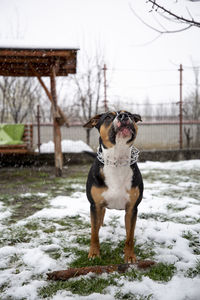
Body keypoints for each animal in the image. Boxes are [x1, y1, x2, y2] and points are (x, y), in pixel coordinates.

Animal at [83, 110, 143, 262]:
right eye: (108, 117)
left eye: (130, 115)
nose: (123, 116)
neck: (117, 160)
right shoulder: (95, 205)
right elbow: (94, 233)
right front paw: (94, 253)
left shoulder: (132, 209)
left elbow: (130, 236)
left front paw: (129, 256)